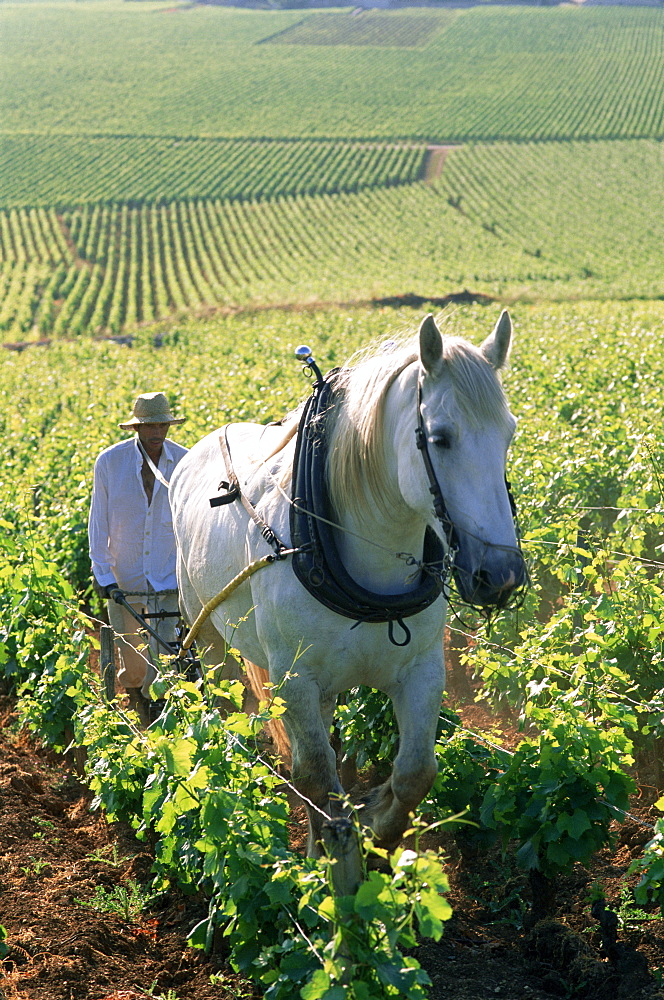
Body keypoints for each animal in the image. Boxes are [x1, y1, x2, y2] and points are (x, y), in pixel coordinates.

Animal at [169, 314, 528, 860]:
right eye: (440, 437)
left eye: (508, 434)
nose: (501, 575)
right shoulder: (293, 680)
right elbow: (317, 778)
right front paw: (329, 858)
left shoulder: (422, 670)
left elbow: (415, 772)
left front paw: (378, 830)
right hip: (207, 633)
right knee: (222, 702)